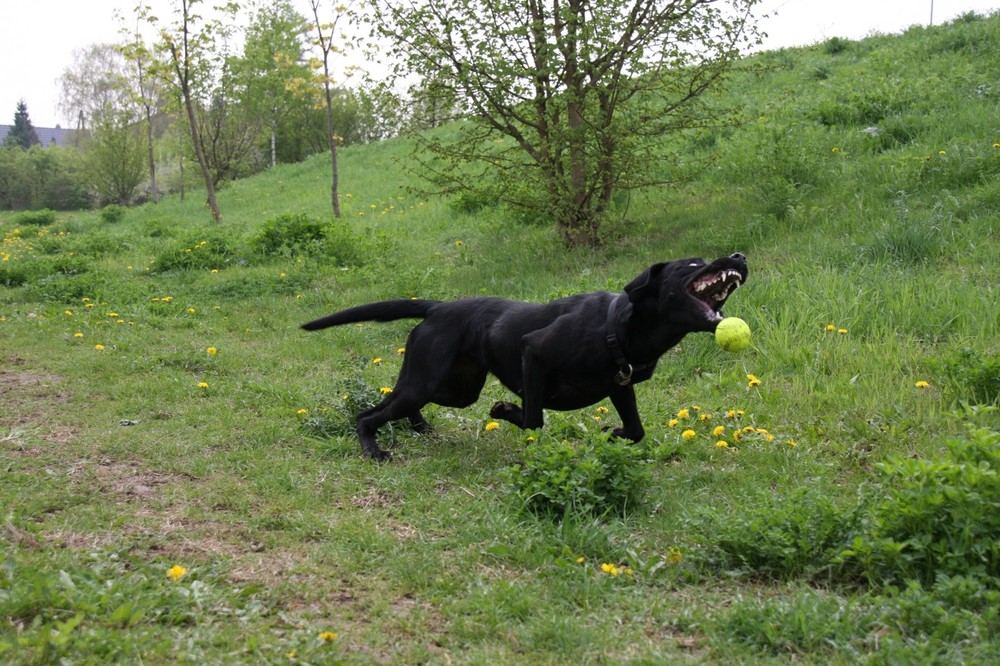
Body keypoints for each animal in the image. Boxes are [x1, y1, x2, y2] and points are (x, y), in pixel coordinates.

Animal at [304, 252, 752, 460]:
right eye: (692, 264)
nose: (739, 256)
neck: (617, 327)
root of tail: (438, 308)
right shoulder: (533, 352)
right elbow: (534, 418)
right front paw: (505, 411)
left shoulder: (621, 385)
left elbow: (636, 430)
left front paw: (613, 433)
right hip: (427, 380)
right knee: (367, 414)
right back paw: (373, 449)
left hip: (453, 388)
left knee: (398, 400)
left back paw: (420, 428)